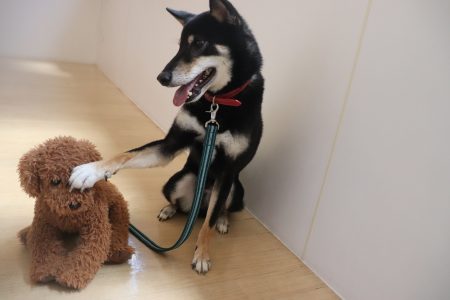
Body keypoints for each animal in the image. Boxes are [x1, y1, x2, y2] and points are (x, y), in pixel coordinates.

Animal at [70, 0, 264, 274]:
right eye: (180, 45)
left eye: (198, 43)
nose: (161, 78)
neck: (217, 104)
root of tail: (199, 205)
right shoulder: (170, 144)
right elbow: (125, 154)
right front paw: (93, 170)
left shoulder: (228, 170)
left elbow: (208, 225)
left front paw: (202, 254)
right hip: (176, 181)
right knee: (182, 205)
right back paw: (169, 210)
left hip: (236, 190)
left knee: (217, 210)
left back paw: (223, 220)